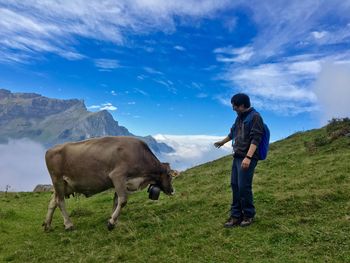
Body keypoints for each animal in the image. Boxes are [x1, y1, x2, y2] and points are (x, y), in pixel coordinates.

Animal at [43, 137, 174, 232]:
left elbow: (116, 201)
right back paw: (68, 224)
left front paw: (112, 219)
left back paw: (47, 225)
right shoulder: (117, 176)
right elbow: (123, 200)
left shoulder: (121, 182)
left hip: (64, 185)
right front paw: (111, 223)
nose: (172, 190)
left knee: (52, 201)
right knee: (60, 201)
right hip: (58, 180)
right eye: (169, 175)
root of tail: (50, 150)